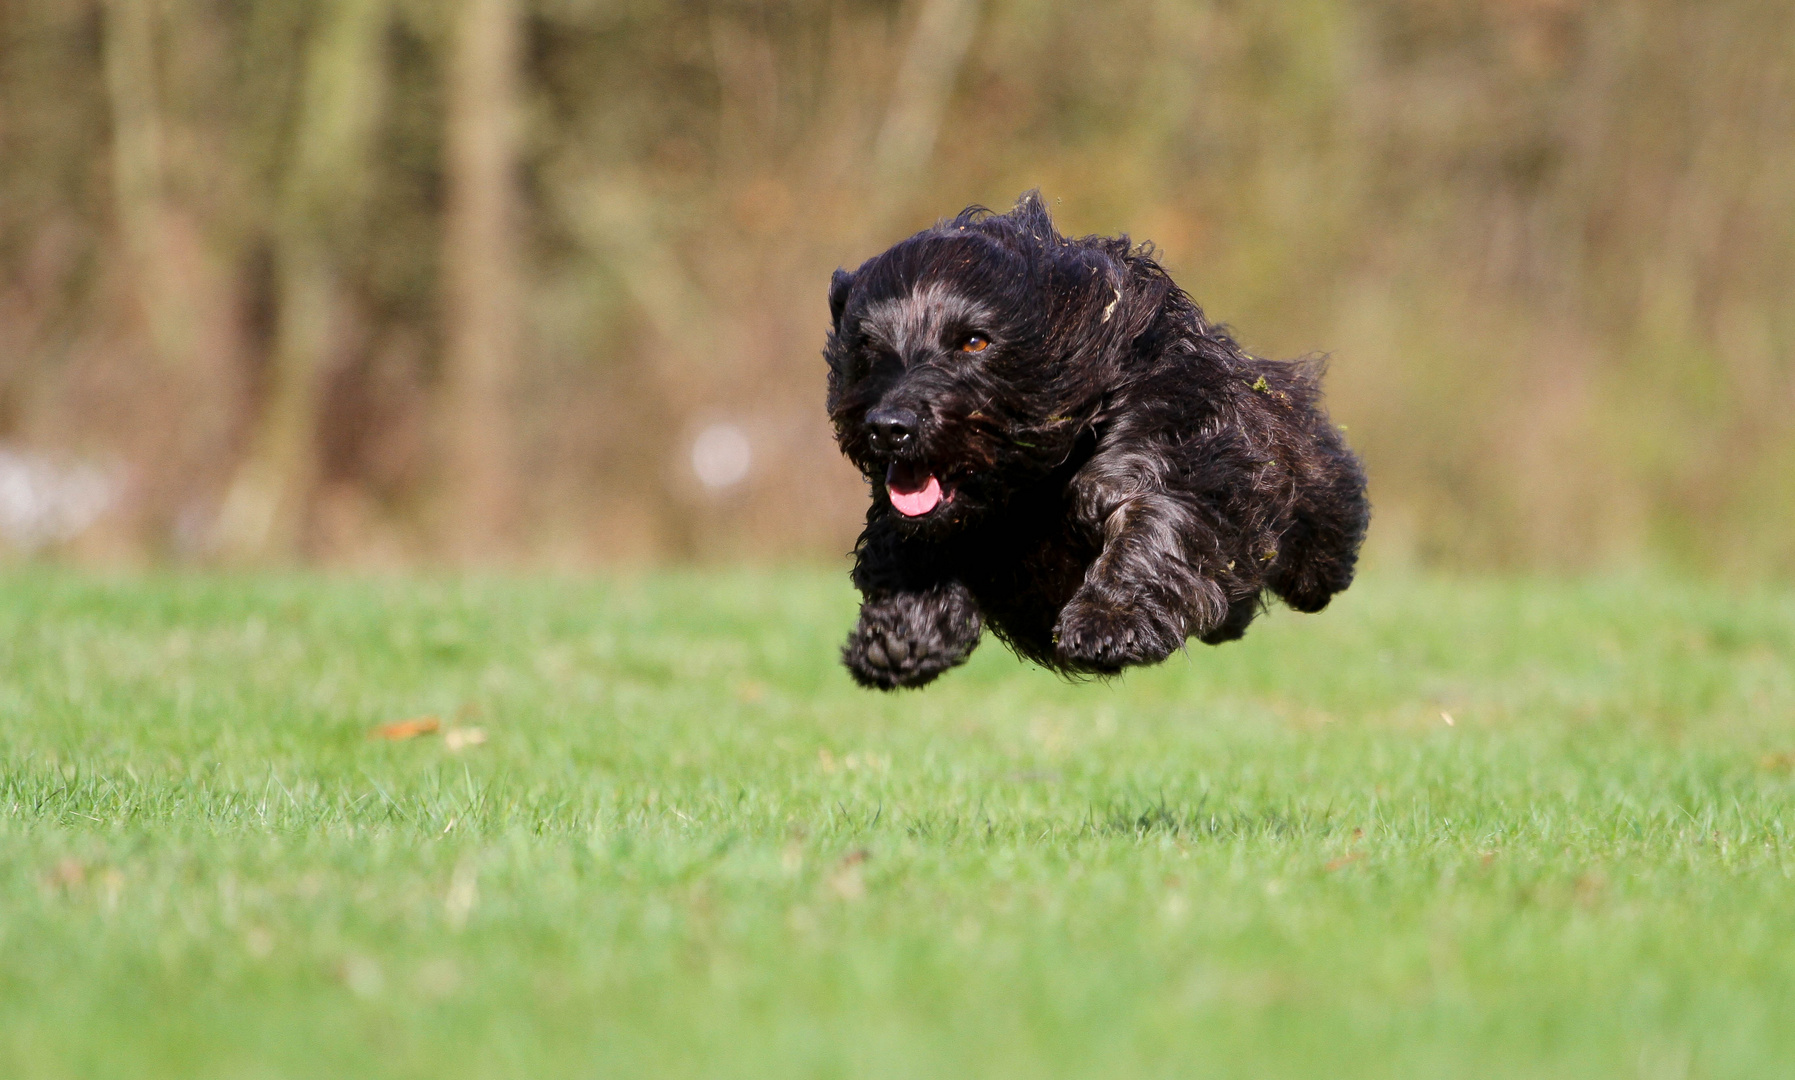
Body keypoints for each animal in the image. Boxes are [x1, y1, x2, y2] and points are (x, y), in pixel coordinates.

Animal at [825, 190, 1371, 685]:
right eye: (867, 345)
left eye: (975, 341)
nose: (889, 426)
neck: (1032, 485)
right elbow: (900, 542)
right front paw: (899, 638)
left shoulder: (1164, 449)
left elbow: (1153, 525)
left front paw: (1108, 622)